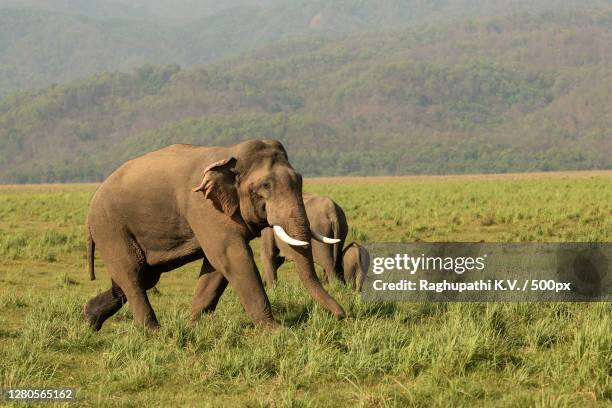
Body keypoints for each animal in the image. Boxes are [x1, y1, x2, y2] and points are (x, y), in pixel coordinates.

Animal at [82, 140, 344, 332]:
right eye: (265, 186)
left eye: (300, 180)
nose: (342, 315)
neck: (229, 154)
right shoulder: (203, 207)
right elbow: (231, 256)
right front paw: (276, 331)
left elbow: (216, 268)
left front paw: (193, 325)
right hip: (111, 227)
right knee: (132, 274)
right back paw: (153, 332)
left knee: (141, 277)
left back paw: (89, 319)